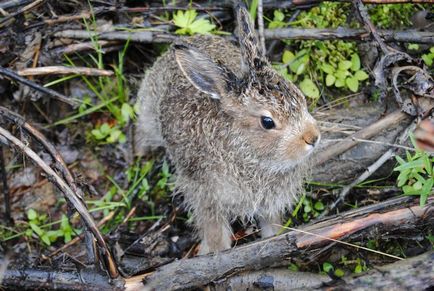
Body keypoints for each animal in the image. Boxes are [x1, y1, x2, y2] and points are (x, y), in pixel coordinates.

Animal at [137, 5, 320, 256]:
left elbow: (271, 220)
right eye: (267, 122)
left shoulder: (270, 201)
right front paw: (215, 251)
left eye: (301, 97)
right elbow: (213, 227)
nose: (313, 137)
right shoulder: (205, 194)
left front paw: (274, 235)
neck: (245, 152)